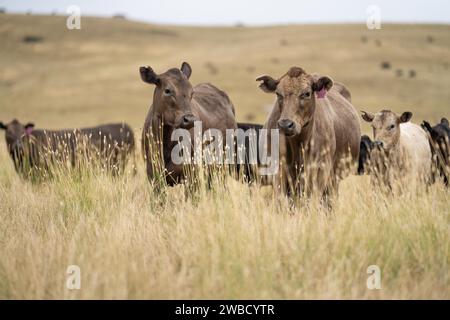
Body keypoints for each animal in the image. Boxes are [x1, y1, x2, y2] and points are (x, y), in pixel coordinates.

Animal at [256, 66, 358, 199]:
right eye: (278, 94)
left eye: (307, 93)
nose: (285, 124)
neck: (298, 145)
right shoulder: (278, 170)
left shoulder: (320, 171)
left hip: (334, 180)